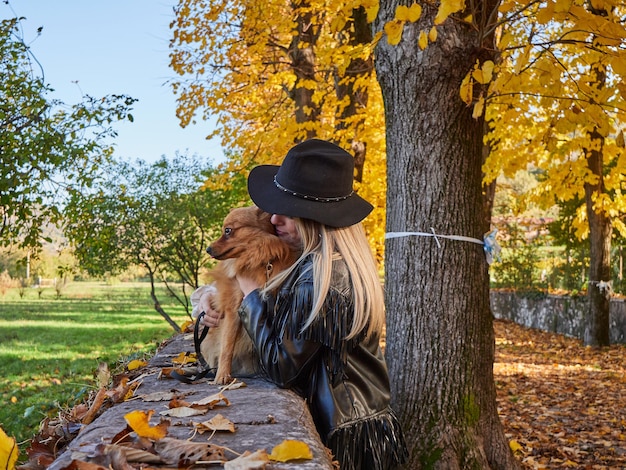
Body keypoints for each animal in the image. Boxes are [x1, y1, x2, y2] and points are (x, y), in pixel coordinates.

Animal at [200, 207, 298, 384]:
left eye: (227, 230)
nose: (208, 249)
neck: (260, 258)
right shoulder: (234, 309)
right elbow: (227, 345)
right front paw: (223, 374)